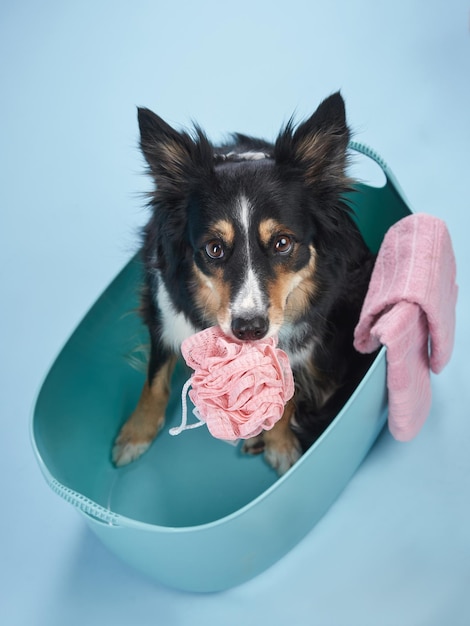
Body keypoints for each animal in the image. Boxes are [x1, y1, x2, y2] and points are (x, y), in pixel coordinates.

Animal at [112, 92, 376, 472]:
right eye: (214, 248)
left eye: (282, 243)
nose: (249, 329)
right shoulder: (163, 310)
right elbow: (155, 380)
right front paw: (136, 434)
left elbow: (289, 396)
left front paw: (280, 445)